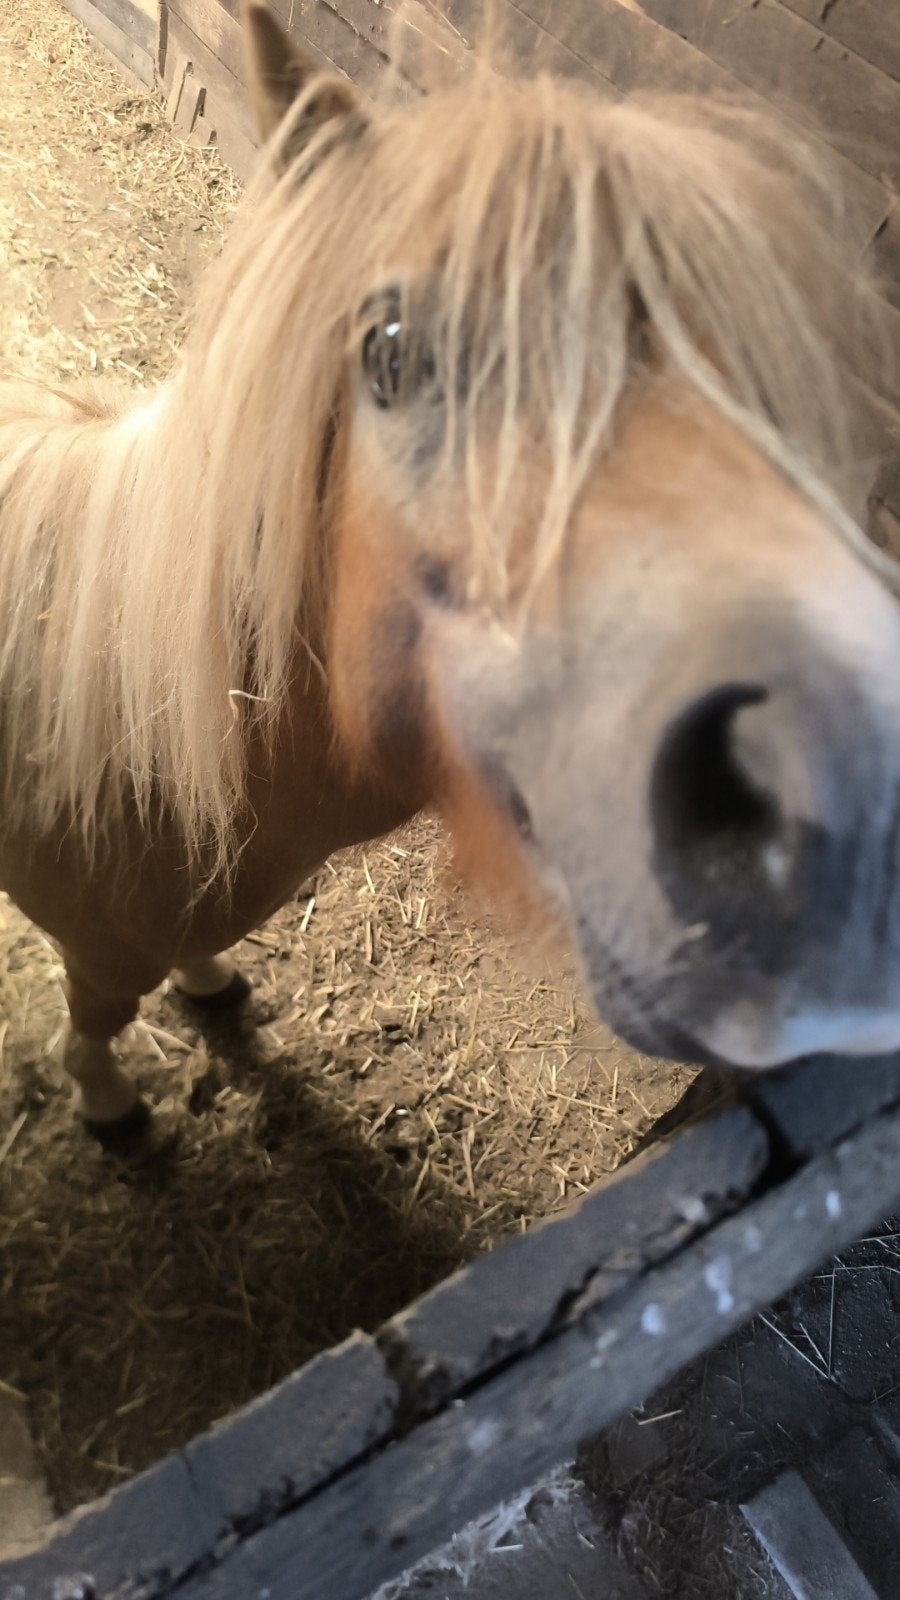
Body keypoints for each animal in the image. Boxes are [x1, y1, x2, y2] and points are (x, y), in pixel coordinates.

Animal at [1, 0, 899, 1134]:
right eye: (389, 351)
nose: (849, 804)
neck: (128, 715)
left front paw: (211, 986)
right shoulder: (97, 945)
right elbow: (102, 1017)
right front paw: (108, 1099)